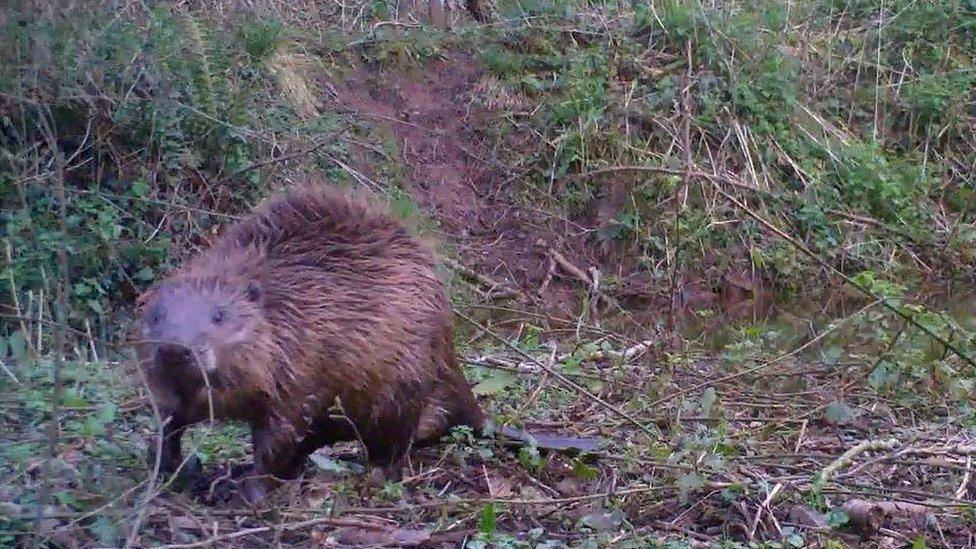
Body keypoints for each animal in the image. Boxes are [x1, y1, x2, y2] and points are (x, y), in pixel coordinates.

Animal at [133, 182, 600, 504]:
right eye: (155, 315)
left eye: (219, 315)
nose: (176, 350)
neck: (286, 302)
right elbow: (171, 418)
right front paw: (169, 466)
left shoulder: (301, 362)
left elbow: (278, 432)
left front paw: (251, 490)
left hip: (396, 385)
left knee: (399, 439)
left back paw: (369, 471)